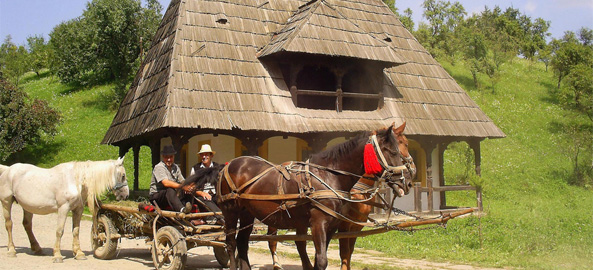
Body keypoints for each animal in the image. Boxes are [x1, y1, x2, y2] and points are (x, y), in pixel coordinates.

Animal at [0, 158, 129, 262]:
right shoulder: (63, 208)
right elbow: (59, 231)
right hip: (6, 202)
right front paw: (57, 255)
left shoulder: (78, 209)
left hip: (27, 206)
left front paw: (79, 253)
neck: (76, 180)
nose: (126, 195)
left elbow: (76, 230)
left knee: (27, 225)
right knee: (9, 224)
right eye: (123, 176)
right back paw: (11, 250)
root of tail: (8, 169)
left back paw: (37, 248)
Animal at [217, 123, 416, 270]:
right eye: (393, 151)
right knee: (231, 244)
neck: (329, 175)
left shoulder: (333, 227)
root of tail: (230, 164)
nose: (407, 182)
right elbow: (322, 260)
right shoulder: (318, 224)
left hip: (247, 213)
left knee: (242, 243)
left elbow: (323, 258)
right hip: (231, 211)